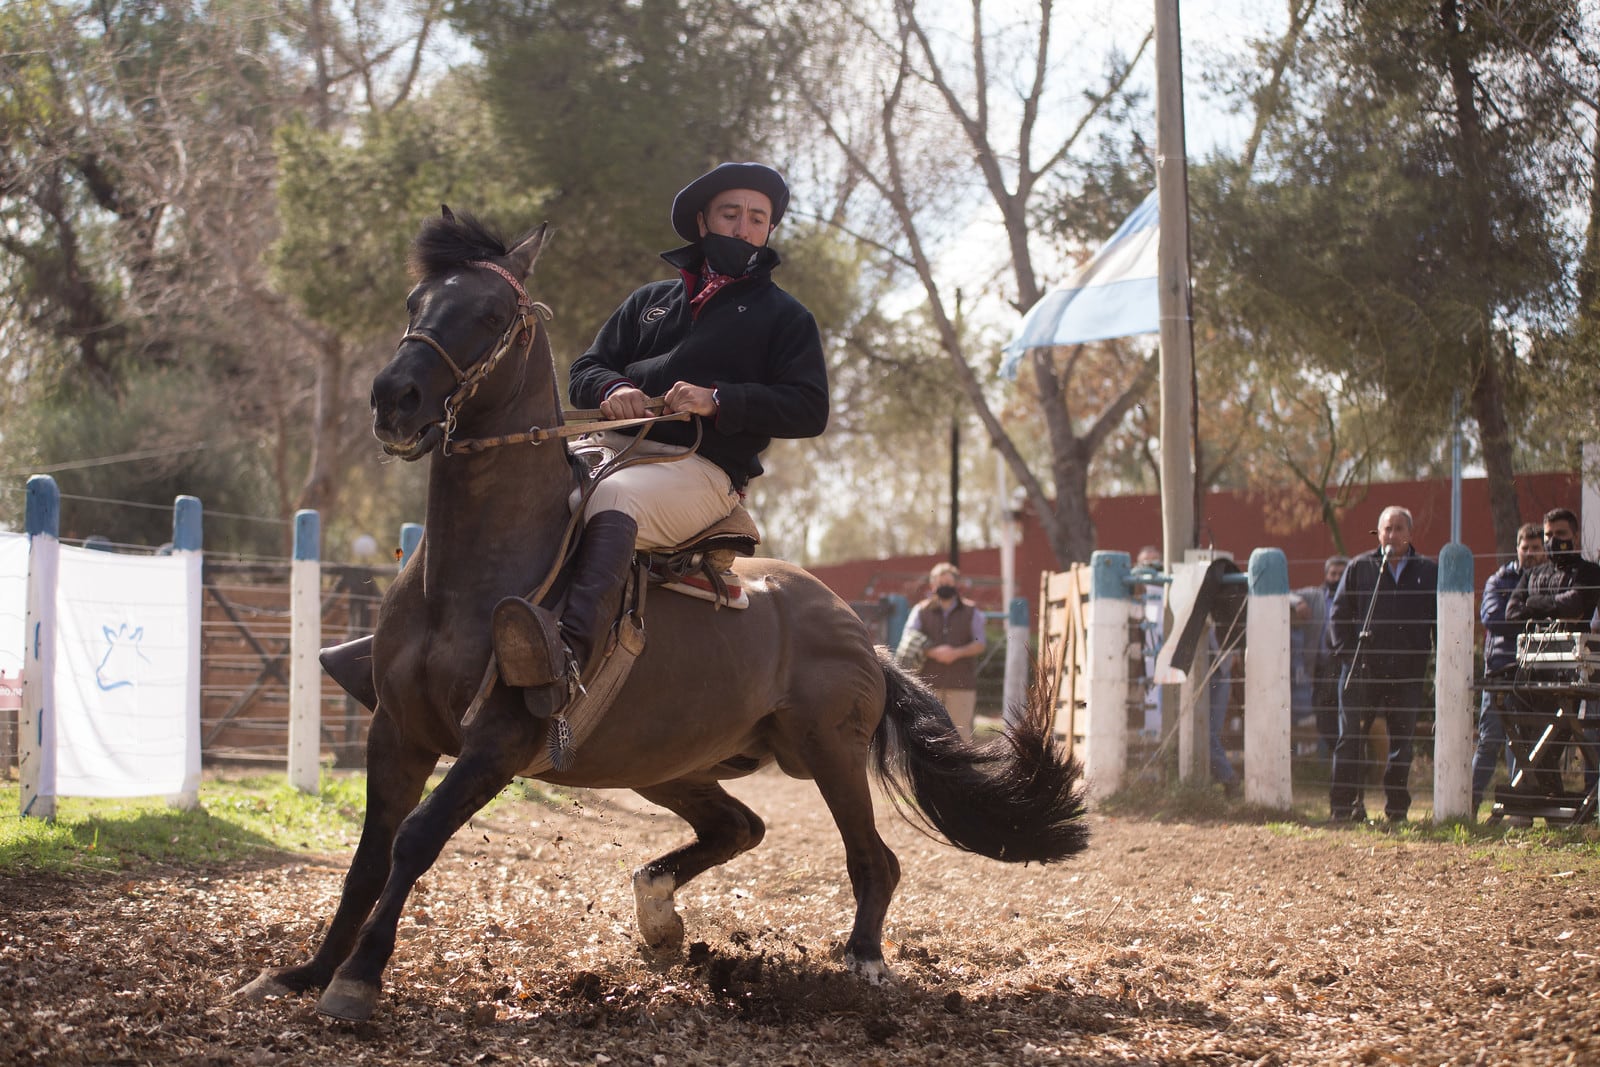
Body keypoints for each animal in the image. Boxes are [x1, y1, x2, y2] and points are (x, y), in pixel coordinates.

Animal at [233, 212, 1088, 1023]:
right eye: (417, 301)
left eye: (490, 312)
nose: (395, 398)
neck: (475, 568)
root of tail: (860, 633)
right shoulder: (396, 732)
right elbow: (368, 855)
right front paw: (304, 972)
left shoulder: (496, 743)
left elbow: (413, 841)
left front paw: (357, 978)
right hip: (669, 764)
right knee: (740, 828)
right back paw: (659, 916)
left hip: (831, 752)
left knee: (872, 858)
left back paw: (865, 964)